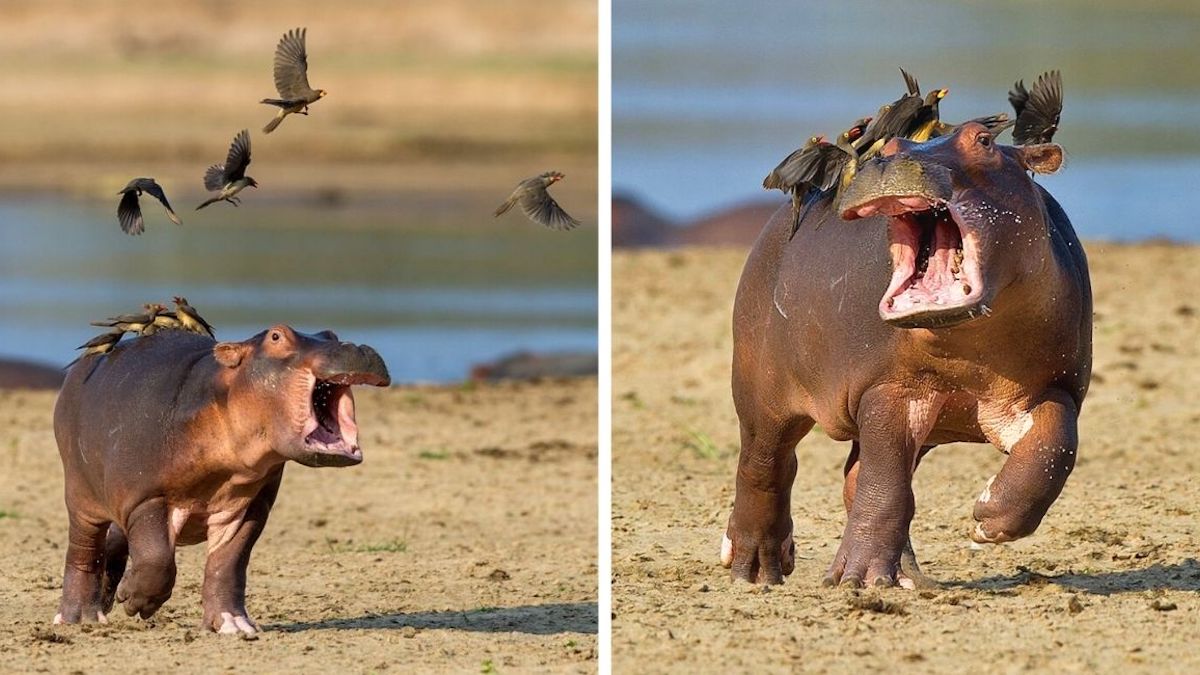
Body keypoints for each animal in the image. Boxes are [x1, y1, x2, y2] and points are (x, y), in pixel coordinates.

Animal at [715, 123, 1094, 586]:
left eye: (984, 140)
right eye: (891, 145)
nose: (890, 160)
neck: (969, 349)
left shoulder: (1052, 388)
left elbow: (1055, 445)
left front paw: (988, 520)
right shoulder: (888, 388)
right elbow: (884, 483)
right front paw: (858, 579)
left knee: (855, 479)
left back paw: (909, 577)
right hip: (761, 392)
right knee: (766, 466)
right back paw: (756, 569)